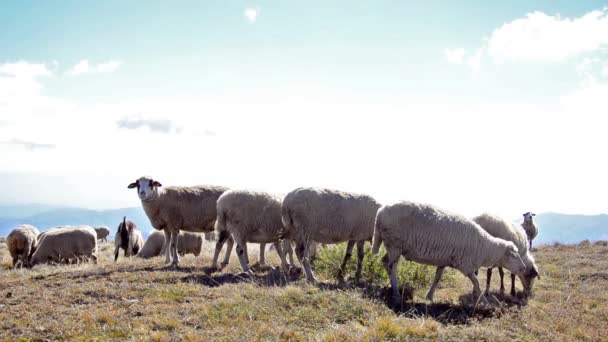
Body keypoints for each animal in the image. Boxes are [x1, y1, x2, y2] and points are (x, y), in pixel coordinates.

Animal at [370, 202, 528, 304]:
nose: (524, 268)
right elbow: (477, 282)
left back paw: (392, 288)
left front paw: (430, 296)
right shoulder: (465, 265)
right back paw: (396, 294)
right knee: (391, 266)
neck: (484, 247)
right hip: (394, 245)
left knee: (385, 262)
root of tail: (381, 211)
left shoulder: (444, 261)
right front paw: (484, 301)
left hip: (392, 246)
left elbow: (437, 278)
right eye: (514, 255)